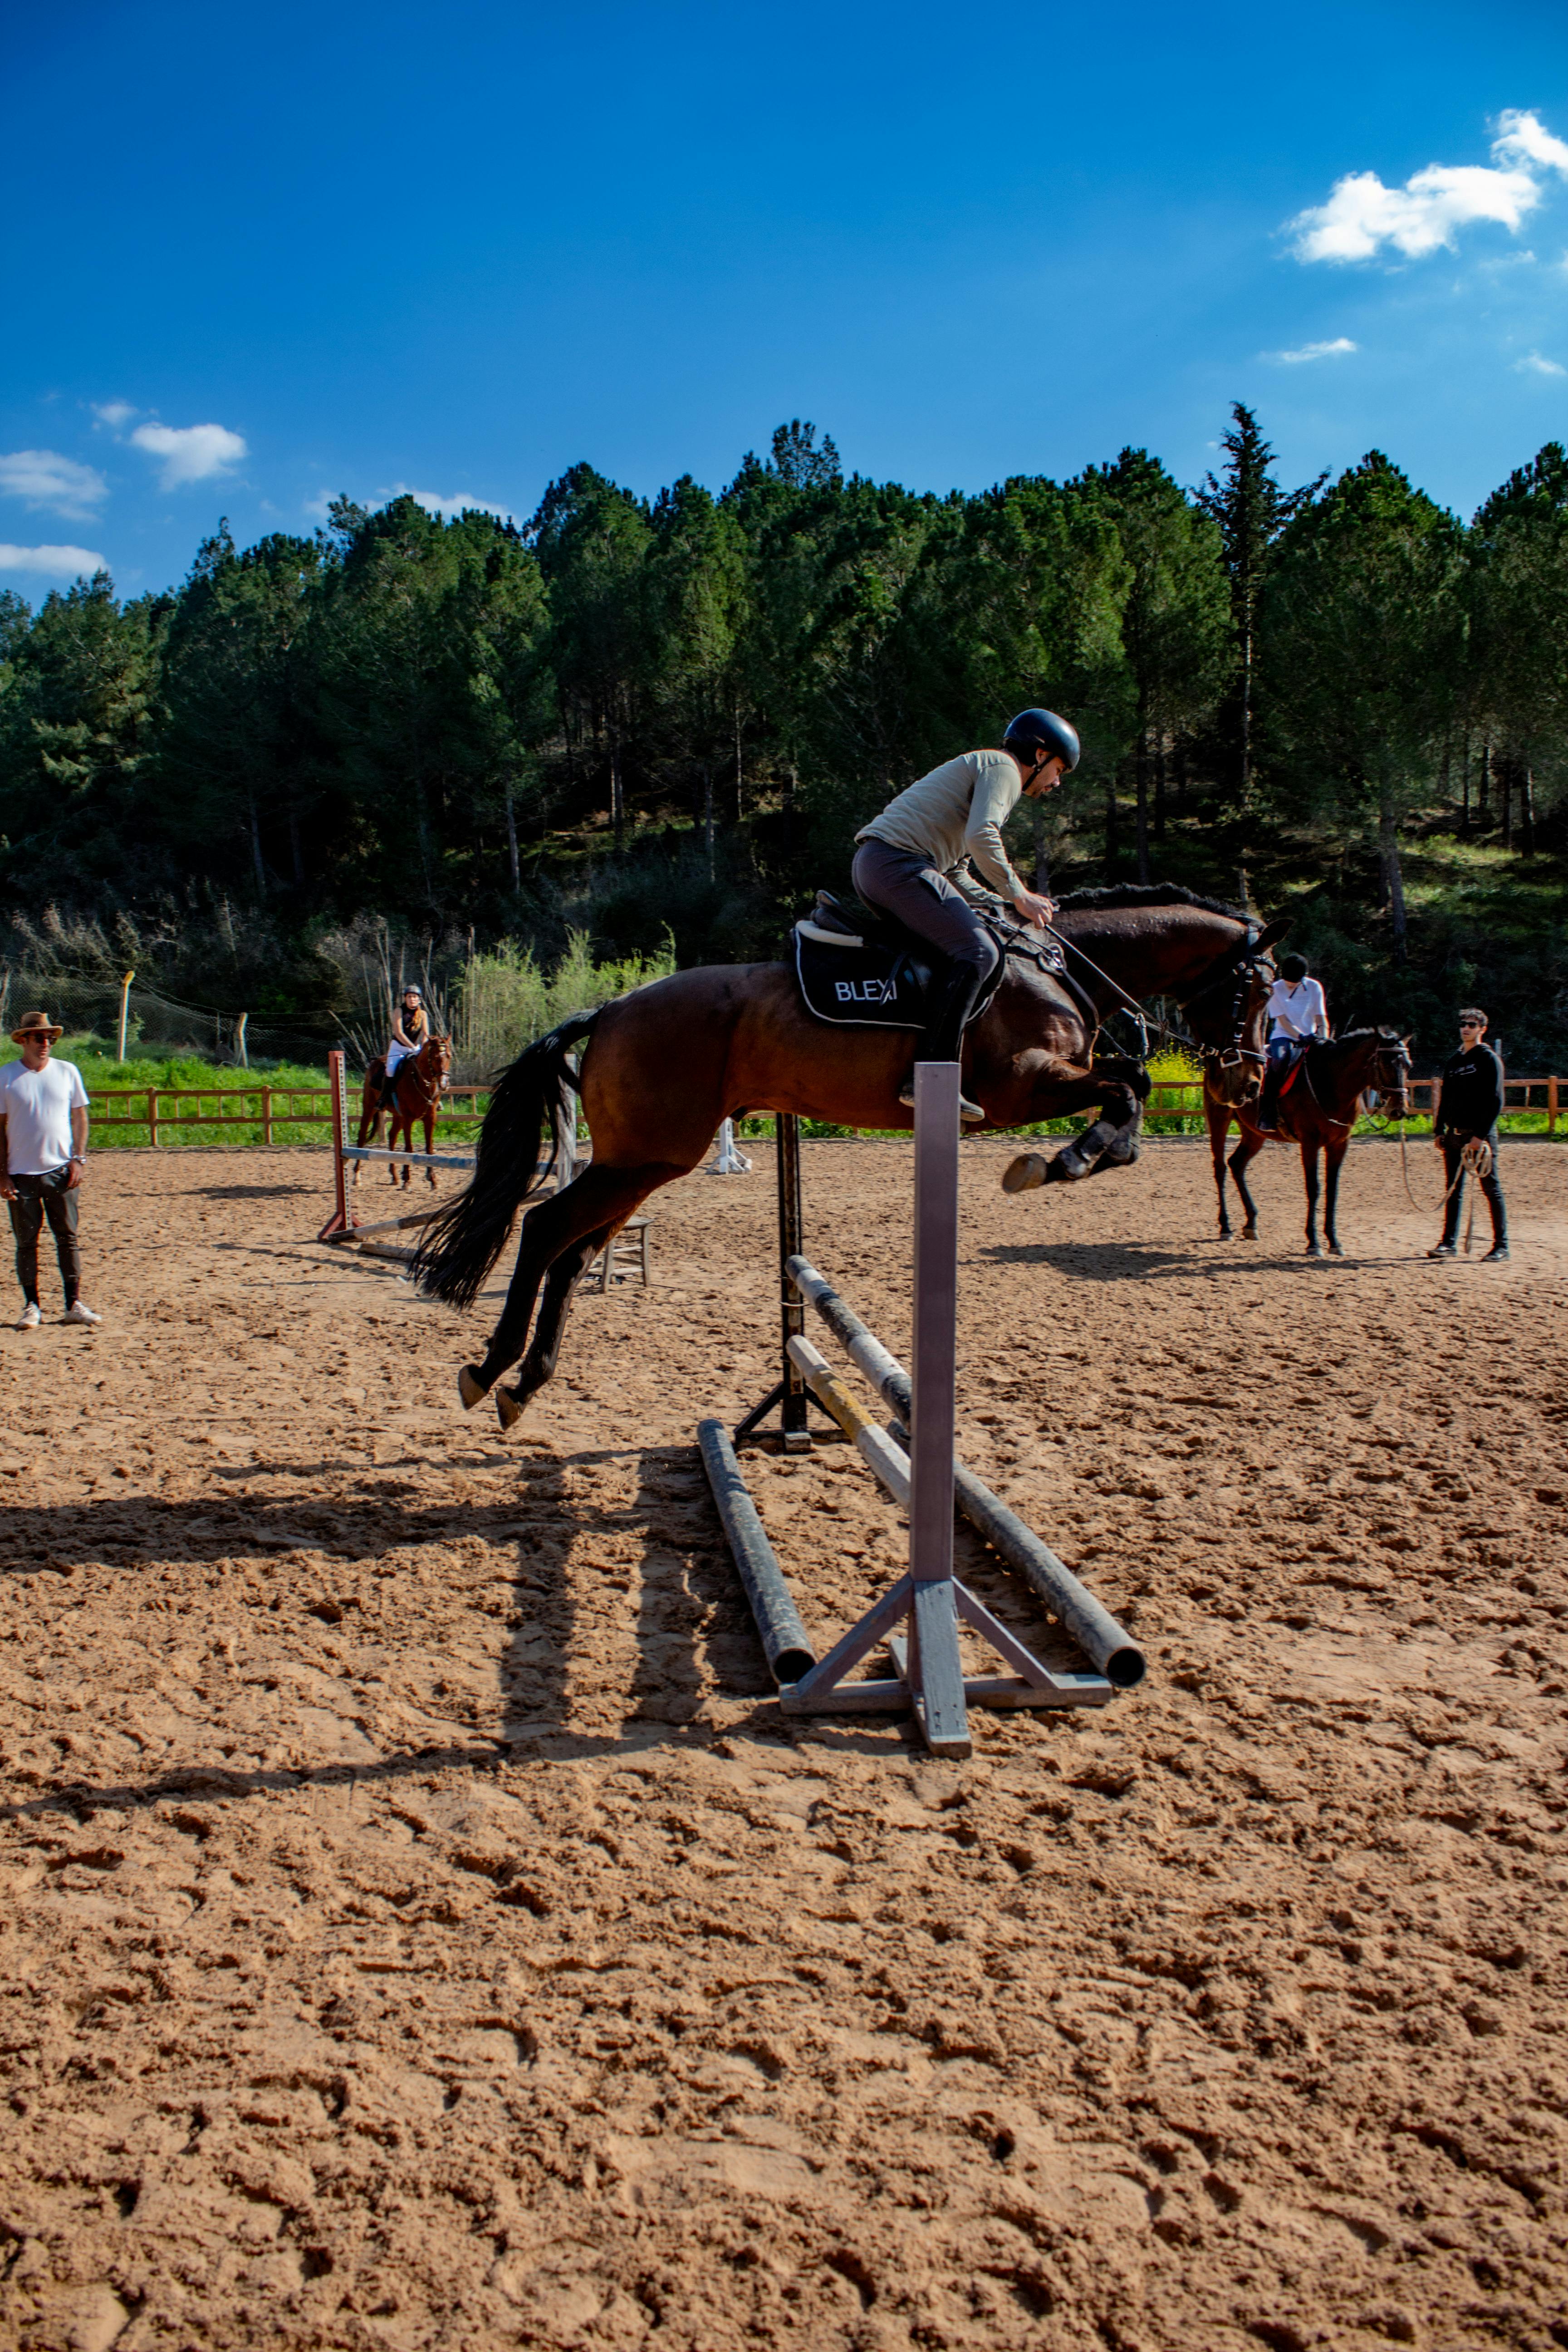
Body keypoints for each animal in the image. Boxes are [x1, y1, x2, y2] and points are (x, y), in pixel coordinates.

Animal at [354, 1034, 453, 1191]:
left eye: (449, 1056)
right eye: (435, 1057)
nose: (444, 1084)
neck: (421, 1081)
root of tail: (375, 1062)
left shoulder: (430, 1118)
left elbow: (429, 1149)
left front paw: (433, 1180)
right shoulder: (408, 1118)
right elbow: (409, 1149)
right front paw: (407, 1181)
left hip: (397, 1115)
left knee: (392, 1136)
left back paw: (394, 1177)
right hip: (370, 1108)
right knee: (362, 1136)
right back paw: (357, 1177)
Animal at [413, 885, 1286, 1429]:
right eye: (1256, 990)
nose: (1246, 1079)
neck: (1058, 967)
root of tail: (612, 1006)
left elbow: (1131, 1092)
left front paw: (1083, 1156)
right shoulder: (1022, 1086)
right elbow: (1129, 1086)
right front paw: (1061, 1161)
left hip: (648, 1161)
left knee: (573, 1251)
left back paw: (523, 1382)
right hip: (644, 1155)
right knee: (543, 1229)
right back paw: (490, 1368)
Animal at [1204, 1028, 1413, 1257]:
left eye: (1408, 1065)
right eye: (1385, 1064)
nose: (1399, 1110)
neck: (1330, 1083)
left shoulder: (1339, 1144)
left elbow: (1333, 1189)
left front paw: (1334, 1241)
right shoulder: (1310, 1142)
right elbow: (1314, 1188)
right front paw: (1314, 1242)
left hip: (1254, 1134)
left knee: (1237, 1164)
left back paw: (1251, 1224)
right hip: (1220, 1119)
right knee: (1221, 1168)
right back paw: (1226, 1227)